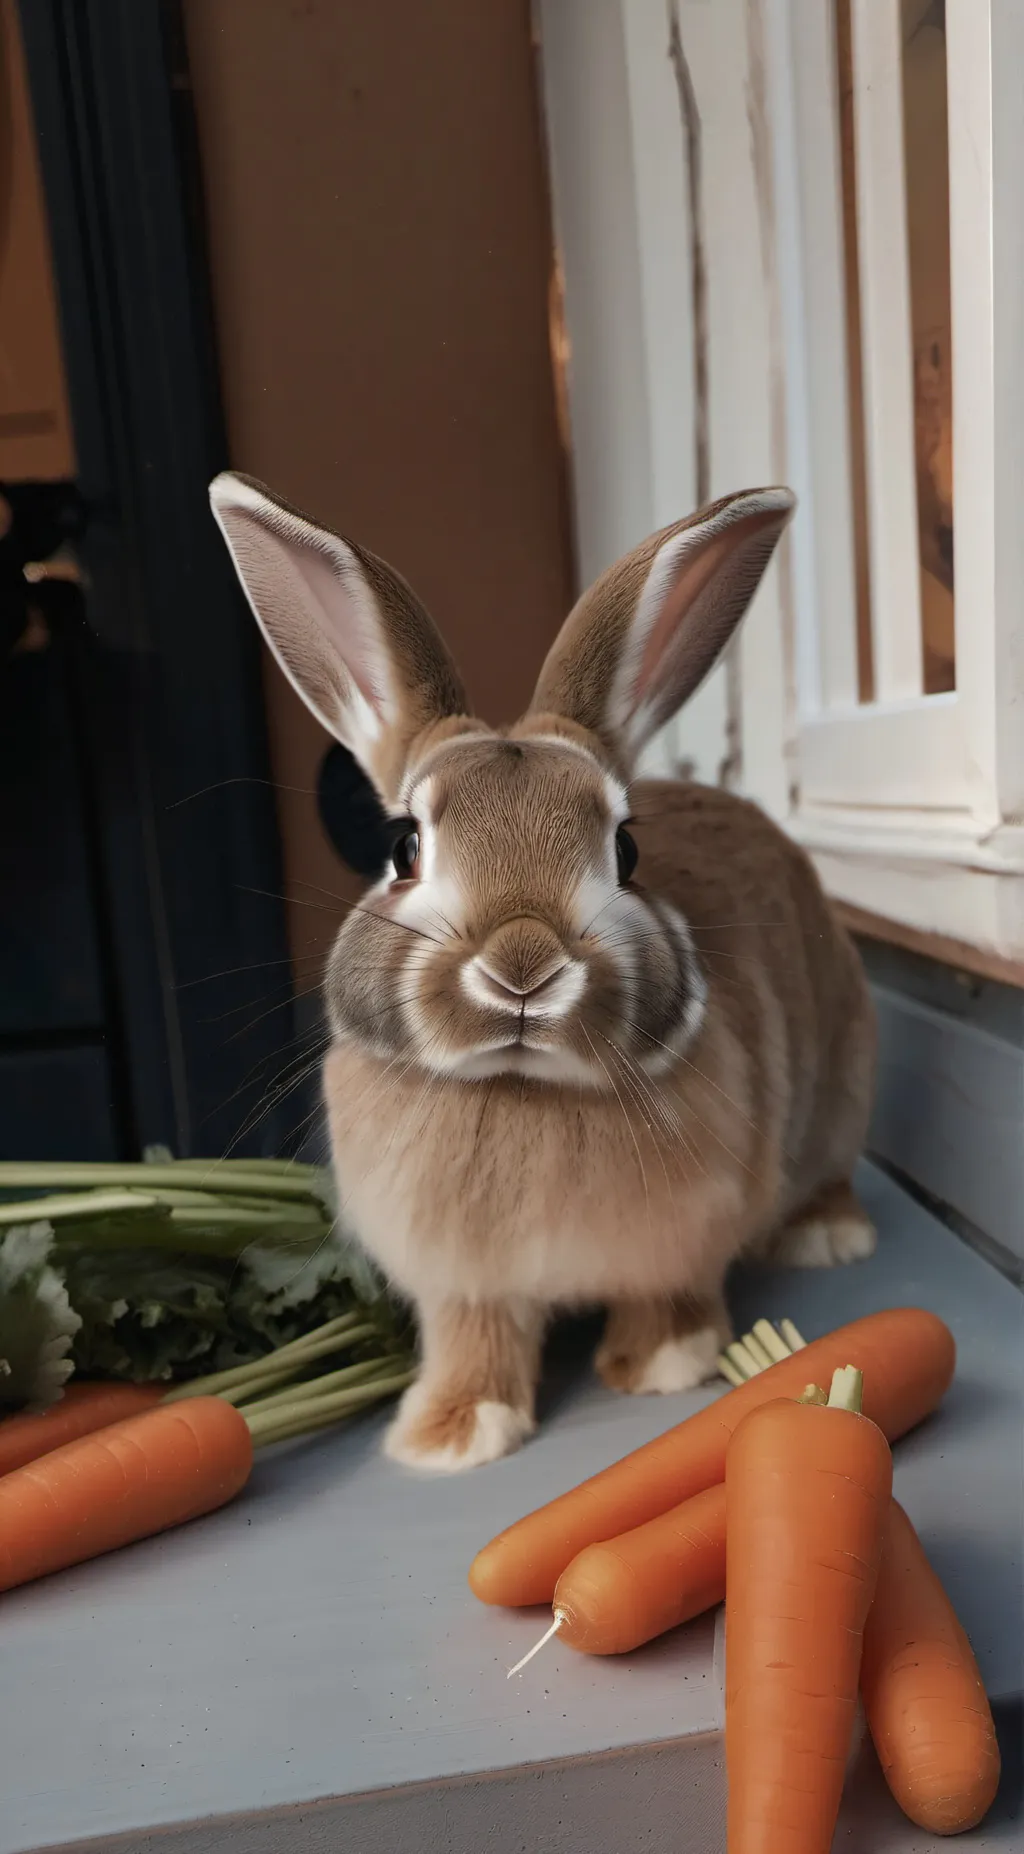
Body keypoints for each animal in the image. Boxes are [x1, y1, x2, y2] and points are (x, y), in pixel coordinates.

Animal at [210, 473, 876, 1473]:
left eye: (626, 850)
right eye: (404, 847)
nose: (521, 968)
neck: (519, 1087)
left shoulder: (678, 1242)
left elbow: (666, 1300)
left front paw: (663, 1366)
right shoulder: (462, 1285)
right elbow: (475, 1343)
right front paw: (450, 1435)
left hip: (840, 1080)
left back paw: (828, 1235)